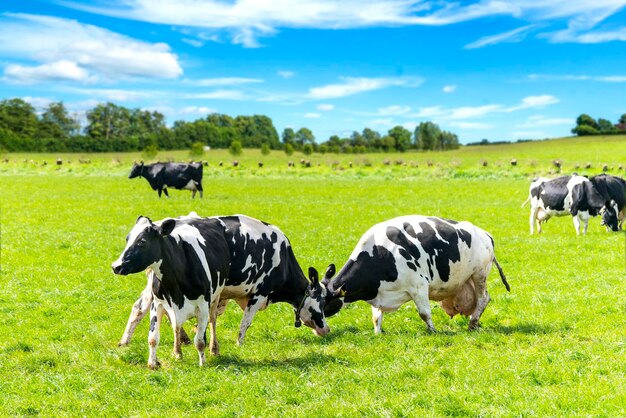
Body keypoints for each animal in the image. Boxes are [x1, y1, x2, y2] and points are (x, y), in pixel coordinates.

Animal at [112, 214, 326, 368]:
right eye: (323, 302)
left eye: (142, 241)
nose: (326, 329)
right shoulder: (259, 293)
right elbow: (245, 323)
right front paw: (239, 344)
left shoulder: (208, 301)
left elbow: (202, 334)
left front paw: (200, 355)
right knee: (148, 311)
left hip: (212, 296)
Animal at [310, 217, 508, 334]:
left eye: (322, 303)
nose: (313, 326)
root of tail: (484, 233)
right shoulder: (378, 292)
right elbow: (376, 317)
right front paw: (378, 333)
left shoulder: (418, 286)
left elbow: (424, 313)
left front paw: (432, 330)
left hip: (480, 274)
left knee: (483, 299)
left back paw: (473, 323)